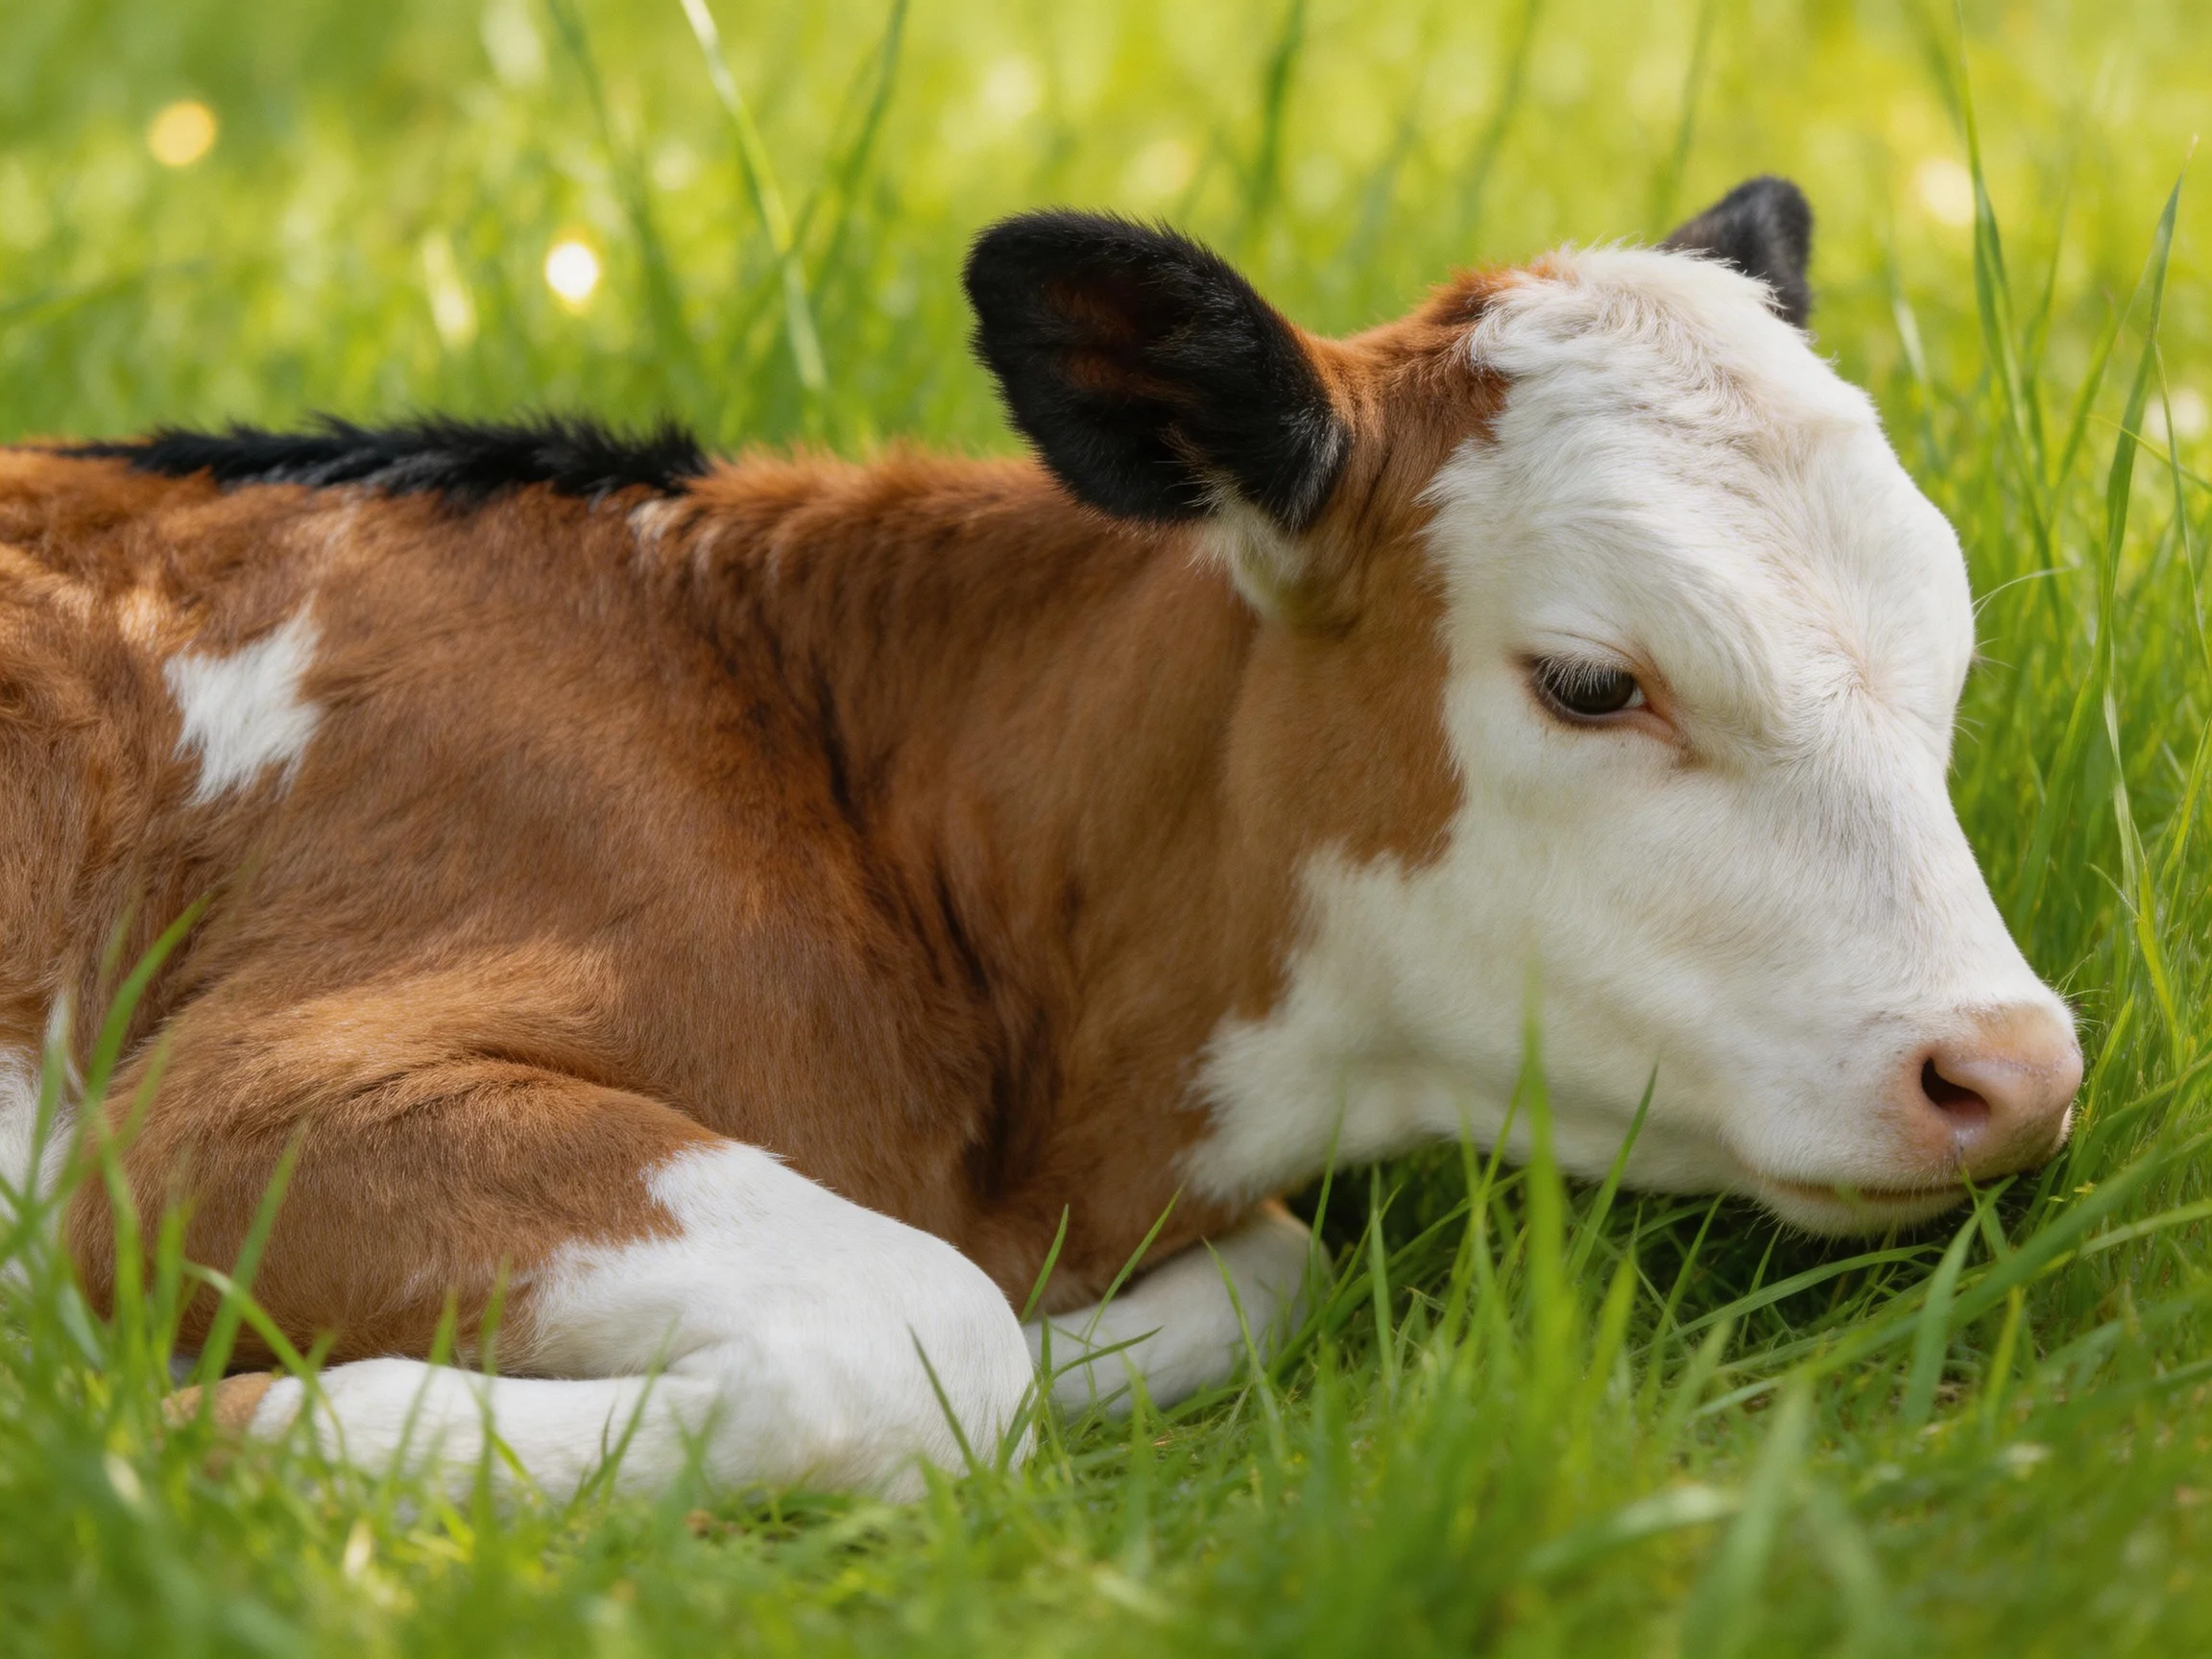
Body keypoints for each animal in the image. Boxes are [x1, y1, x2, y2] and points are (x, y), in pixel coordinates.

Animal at [0, 177, 2081, 1501]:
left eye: (1948, 652)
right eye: (1588, 681)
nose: (2008, 1068)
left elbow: (1243, 1277)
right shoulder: (225, 1112)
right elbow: (923, 1333)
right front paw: (192, 1422)